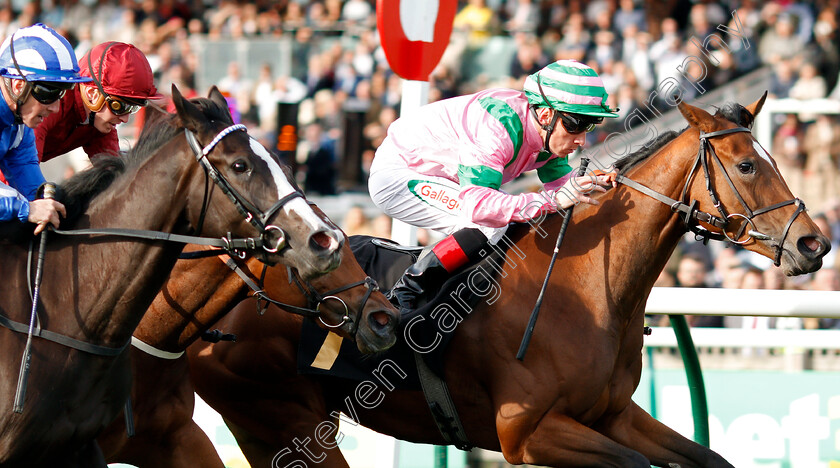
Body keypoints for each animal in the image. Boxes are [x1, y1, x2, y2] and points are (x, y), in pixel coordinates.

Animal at [185, 93, 828, 466]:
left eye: (773, 158)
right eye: (747, 164)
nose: (814, 244)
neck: (588, 289)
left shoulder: (614, 415)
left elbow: (711, 460)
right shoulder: (528, 433)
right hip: (277, 413)